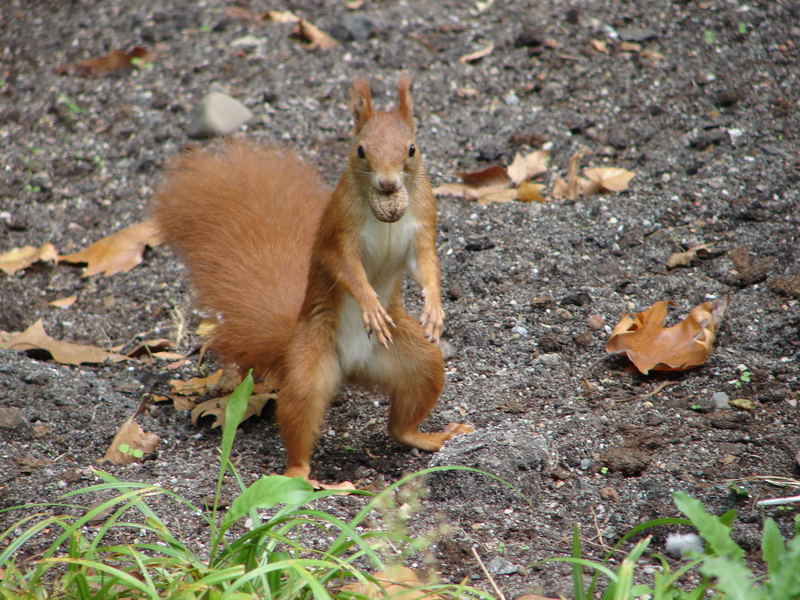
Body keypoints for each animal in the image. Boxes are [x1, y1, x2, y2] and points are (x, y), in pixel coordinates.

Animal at [153, 76, 472, 478]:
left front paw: (434, 308)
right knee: (301, 417)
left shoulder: (424, 222)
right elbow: (346, 268)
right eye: (360, 150)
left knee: (402, 423)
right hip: (310, 364)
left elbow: (426, 265)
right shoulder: (339, 231)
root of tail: (354, 368)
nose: (387, 184)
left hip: (418, 362)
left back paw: (427, 437)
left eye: (412, 149)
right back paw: (299, 476)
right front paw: (369, 304)